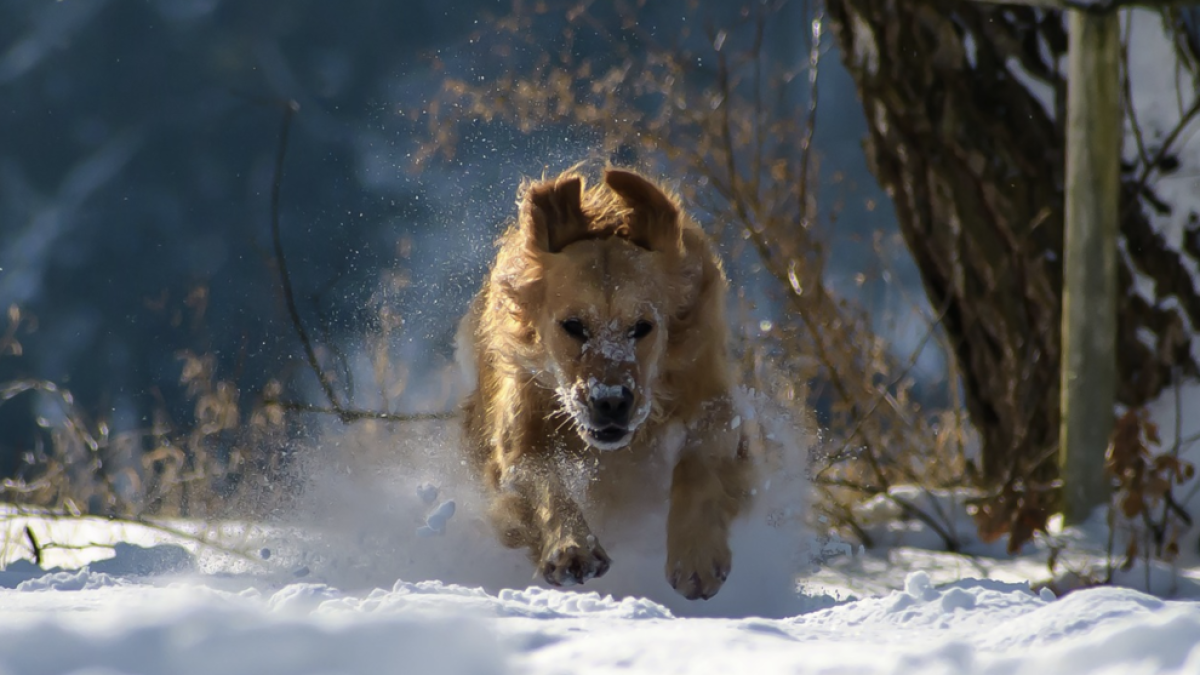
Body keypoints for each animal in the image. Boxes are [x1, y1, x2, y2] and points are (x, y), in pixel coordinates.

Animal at [453, 165, 753, 595]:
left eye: (642, 327)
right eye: (573, 326)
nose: (611, 401)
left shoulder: (714, 398)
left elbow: (700, 463)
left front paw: (696, 554)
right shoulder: (518, 432)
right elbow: (542, 478)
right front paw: (572, 547)